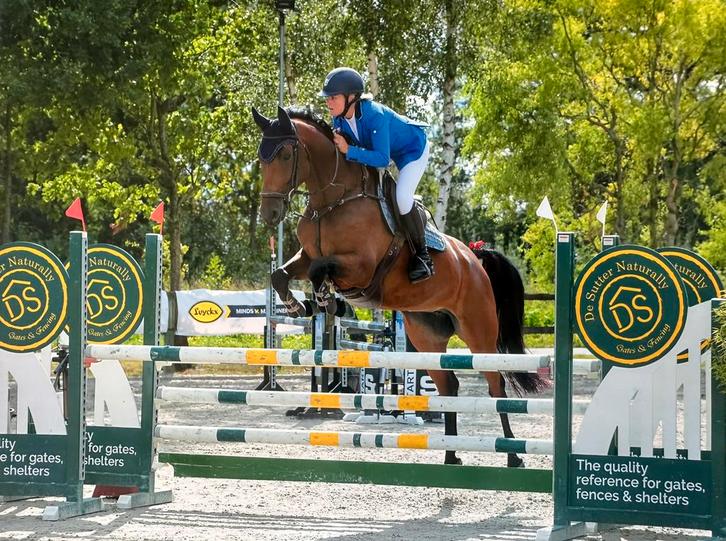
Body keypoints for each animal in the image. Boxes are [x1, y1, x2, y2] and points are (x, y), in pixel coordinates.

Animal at [252, 105, 548, 466]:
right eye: (260, 156)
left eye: (284, 154)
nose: (269, 214)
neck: (333, 201)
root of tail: (474, 257)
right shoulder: (308, 254)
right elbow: (281, 275)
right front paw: (301, 305)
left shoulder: (361, 267)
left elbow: (322, 271)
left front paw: (328, 301)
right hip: (426, 334)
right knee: (449, 386)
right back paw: (451, 456)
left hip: (479, 331)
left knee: (496, 386)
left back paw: (513, 455)